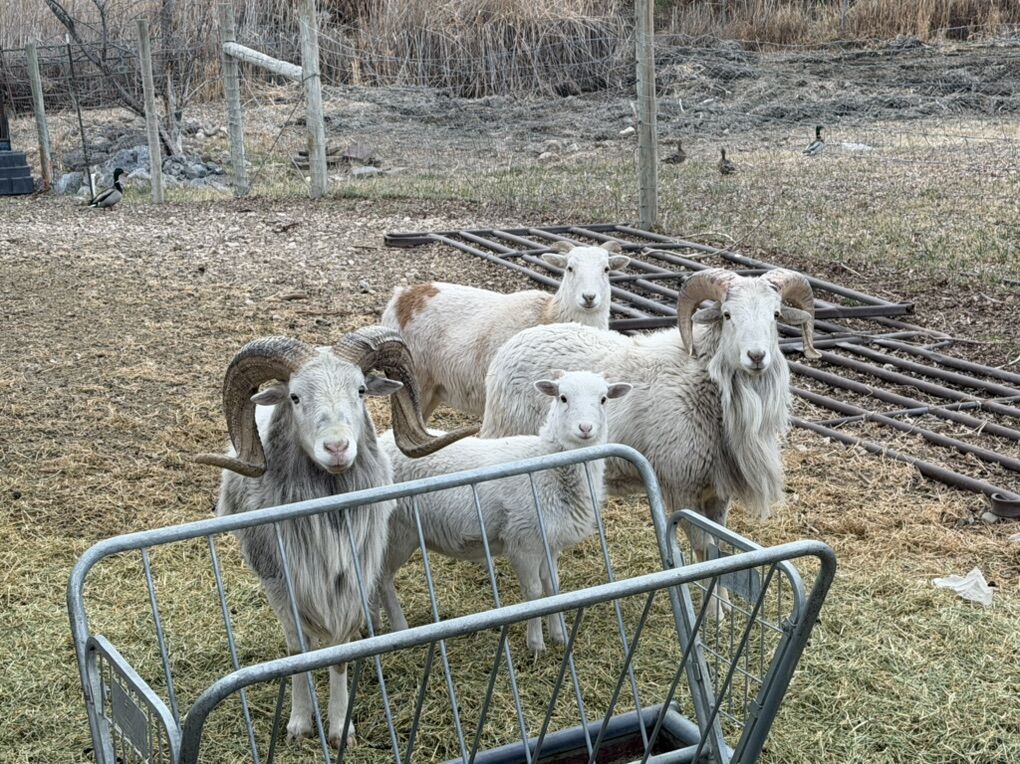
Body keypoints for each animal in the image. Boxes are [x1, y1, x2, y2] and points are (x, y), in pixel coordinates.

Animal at [195, 327, 472, 747]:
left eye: (360, 390)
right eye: (294, 397)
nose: (338, 448)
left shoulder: (351, 582)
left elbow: (339, 654)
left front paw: (341, 729)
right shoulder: (281, 585)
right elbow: (299, 651)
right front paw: (298, 724)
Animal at [375, 370, 632, 653]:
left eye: (604, 399)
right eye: (562, 397)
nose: (585, 429)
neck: (549, 464)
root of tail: (382, 442)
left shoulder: (550, 543)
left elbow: (553, 588)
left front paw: (559, 636)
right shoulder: (523, 542)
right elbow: (534, 593)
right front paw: (536, 644)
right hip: (398, 534)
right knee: (382, 580)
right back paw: (399, 630)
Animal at [381, 241, 631, 418]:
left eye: (607, 269)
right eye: (570, 268)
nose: (589, 297)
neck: (549, 314)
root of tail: (401, 297)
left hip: (433, 389)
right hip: (416, 381)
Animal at [479, 269, 819, 616]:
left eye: (775, 315)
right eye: (727, 315)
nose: (757, 357)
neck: (703, 382)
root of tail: (514, 344)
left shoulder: (716, 489)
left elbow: (720, 548)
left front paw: (722, 605)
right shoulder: (682, 486)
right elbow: (703, 550)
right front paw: (712, 613)